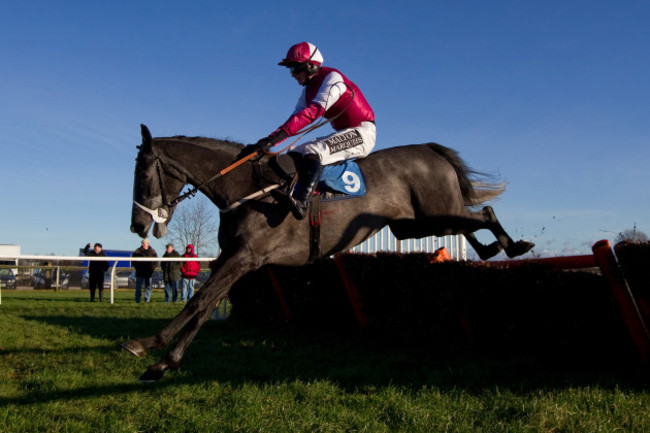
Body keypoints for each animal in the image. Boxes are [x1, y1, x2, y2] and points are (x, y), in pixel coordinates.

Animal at [121, 123, 532, 380]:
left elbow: (197, 301)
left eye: (143, 175)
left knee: (483, 213)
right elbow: (205, 307)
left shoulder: (246, 257)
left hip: (434, 213)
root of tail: (431, 150)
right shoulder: (236, 260)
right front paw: (161, 358)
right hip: (414, 225)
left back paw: (513, 244)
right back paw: (493, 248)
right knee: (471, 222)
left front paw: (151, 349)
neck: (245, 188)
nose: (137, 227)